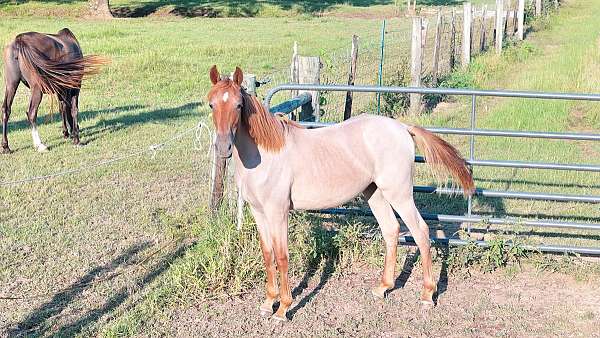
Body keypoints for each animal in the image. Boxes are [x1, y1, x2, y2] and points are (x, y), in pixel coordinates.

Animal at [209, 65, 476, 320]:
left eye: (239, 105)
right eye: (211, 103)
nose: (223, 147)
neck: (266, 154)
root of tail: (401, 127)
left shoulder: (278, 212)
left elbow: (282, 256)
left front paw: (283, 309)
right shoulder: (258, 212)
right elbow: (267, 254)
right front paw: (267, 303)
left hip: (399, 193)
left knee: (421, 232)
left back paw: (427, 295)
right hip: (375, 193)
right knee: (391, 230)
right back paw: (383, 287)